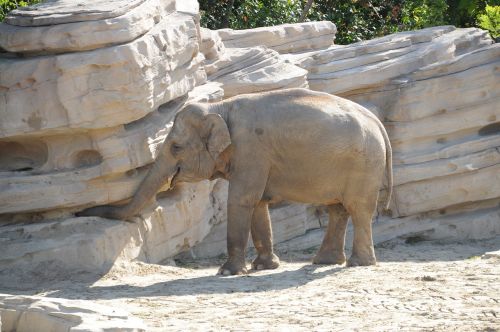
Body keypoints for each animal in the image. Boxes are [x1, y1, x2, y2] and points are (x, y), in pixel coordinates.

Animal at [79, 87, 390, 274]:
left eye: (176, 147)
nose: (83, 211)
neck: (220, 106)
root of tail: (377, 121)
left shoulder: (251, 148)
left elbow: (242, 200)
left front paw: (227, 272)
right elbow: (258, 203)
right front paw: (265, 267)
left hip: (364, 165)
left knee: (358, 208)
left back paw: (358, 264)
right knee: (338, 208)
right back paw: (325, 261)